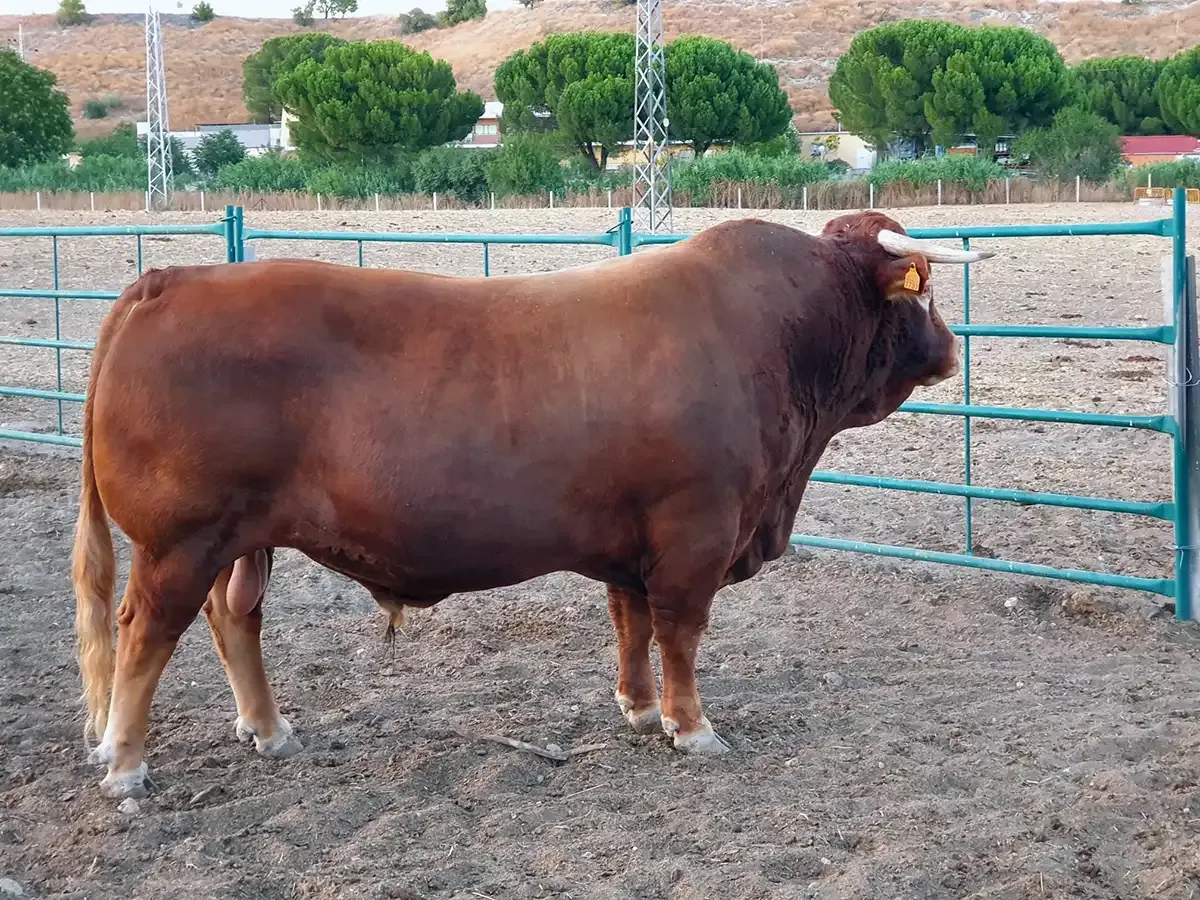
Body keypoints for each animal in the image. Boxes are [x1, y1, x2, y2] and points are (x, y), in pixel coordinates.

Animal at [71, 210, 993, 800]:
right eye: (922, 293)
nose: (950, 350)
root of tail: (169, 279)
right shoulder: (695, 533)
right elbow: (680, 633)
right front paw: (691, 727)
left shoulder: (632, 542)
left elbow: (630, 624)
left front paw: (637, 708)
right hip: (180, 541)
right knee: (145, 633)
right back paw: (126, 763)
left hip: (239, 539)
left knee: (235, 620)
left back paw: (268, 728)